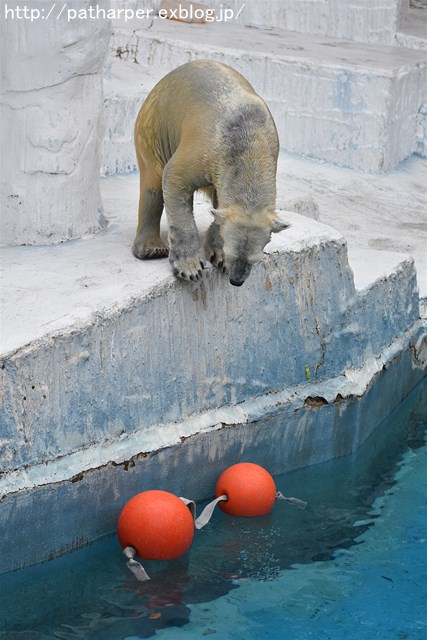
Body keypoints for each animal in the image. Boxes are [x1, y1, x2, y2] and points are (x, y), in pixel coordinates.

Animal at [134, 59, 288, 284]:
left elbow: (220, 207)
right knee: (152, 183)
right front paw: (190, 267)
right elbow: (174, 177)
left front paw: (218, 256)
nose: (236, 280)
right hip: (153, 128)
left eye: (255, 259)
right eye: (233, 253)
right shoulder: (206, 150)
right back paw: (151, 249)